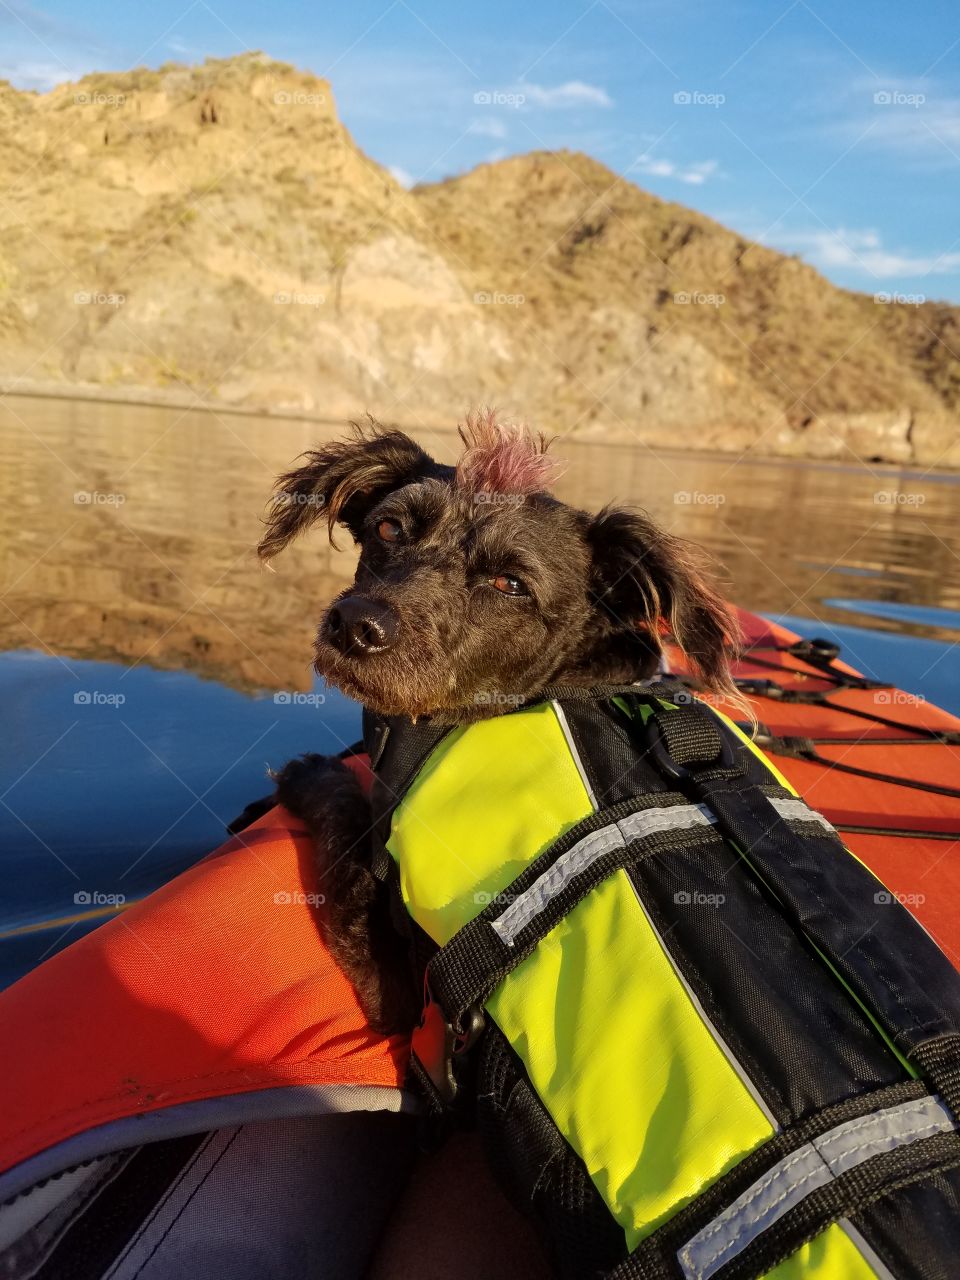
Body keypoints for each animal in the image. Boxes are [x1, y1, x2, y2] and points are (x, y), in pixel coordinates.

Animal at [256, 414, 742, 1034]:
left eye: (511, 584)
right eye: (388, 528)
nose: (357, 625)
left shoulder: (396, 988)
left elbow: (345, 831)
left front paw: (313, 774)